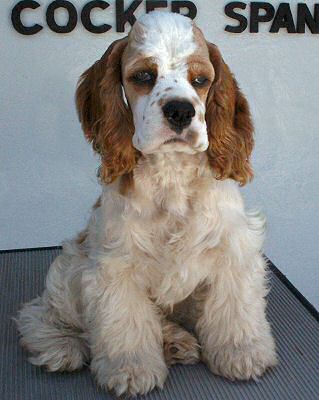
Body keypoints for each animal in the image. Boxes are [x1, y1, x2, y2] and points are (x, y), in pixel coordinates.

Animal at [16, 11, 278, 396]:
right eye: (143, 76)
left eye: (201, 80)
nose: (181, 111)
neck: (171, 173)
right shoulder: (116, 265)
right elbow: (127, 326)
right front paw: (131, 371)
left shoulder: (233, 249)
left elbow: (235, 310)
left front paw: (243, 354)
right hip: (69, 267)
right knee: (40, 312)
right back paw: (61, 345)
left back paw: (175, 342)